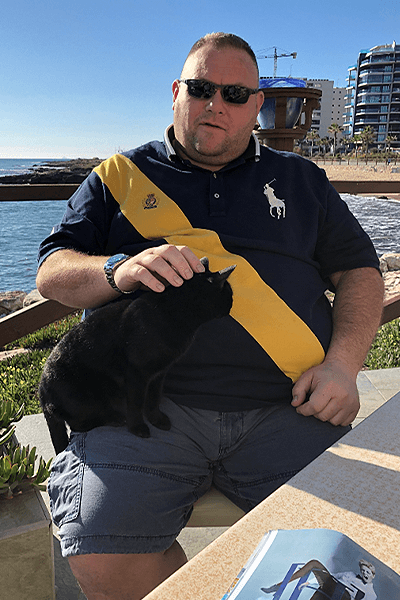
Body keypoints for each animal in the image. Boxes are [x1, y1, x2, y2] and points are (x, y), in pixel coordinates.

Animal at [38, 255, 234, 452]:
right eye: (230, 294)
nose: (232, 305)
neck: (173, 311)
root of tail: (42, 391)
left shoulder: (159, 374)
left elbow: (154, 399)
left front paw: (157, 419)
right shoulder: (136, 375)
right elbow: (136, 404)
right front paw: (138, 428)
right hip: (87, 399)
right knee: (79, 425)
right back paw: (115, 419)